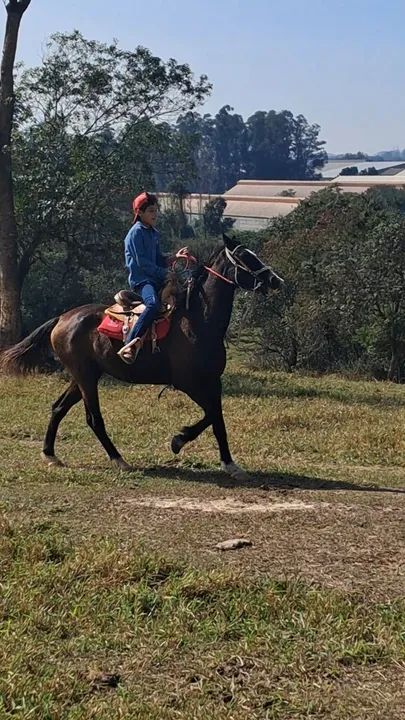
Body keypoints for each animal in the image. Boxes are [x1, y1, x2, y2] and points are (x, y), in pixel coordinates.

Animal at [0, 234, 282, 481]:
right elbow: (211, 414)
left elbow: (217, 419)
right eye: (245, 257)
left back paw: (50, 455)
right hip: (86, 378)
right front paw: (178, 440)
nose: (276, 280)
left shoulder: (213, 381)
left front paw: (230, 464)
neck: (199, 321)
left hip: (84, 376)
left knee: (58, 408)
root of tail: (62, 318)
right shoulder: (188, 383)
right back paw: (119, 460)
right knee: (93, 419)